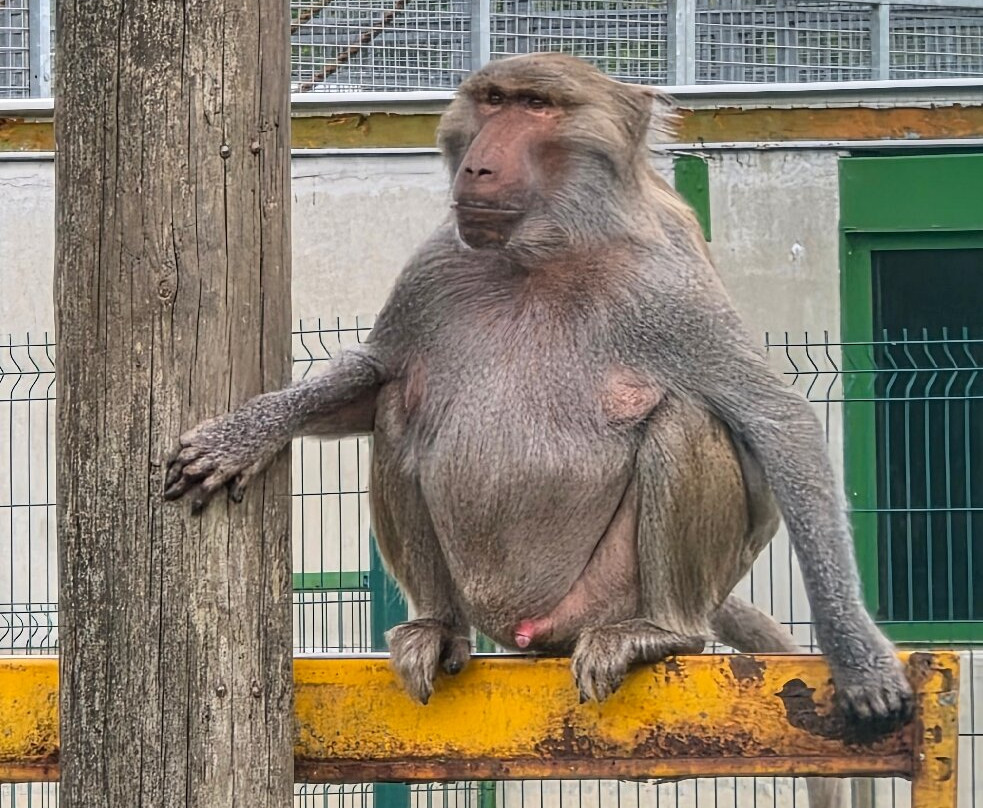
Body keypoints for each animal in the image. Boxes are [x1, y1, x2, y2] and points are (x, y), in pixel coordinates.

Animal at [164, 54, 912, 739]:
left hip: (602, 598)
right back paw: (436, 627)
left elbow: (774, 420)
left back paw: (661, 632)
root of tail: (525, 629)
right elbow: (373, 378)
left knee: (685, 416)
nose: (477, 170)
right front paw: (243, 436)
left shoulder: (663, 283)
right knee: (403, 401)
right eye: (493, 101)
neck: (543, 253)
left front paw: (861, 661)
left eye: (537, 105)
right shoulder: (434, 266)